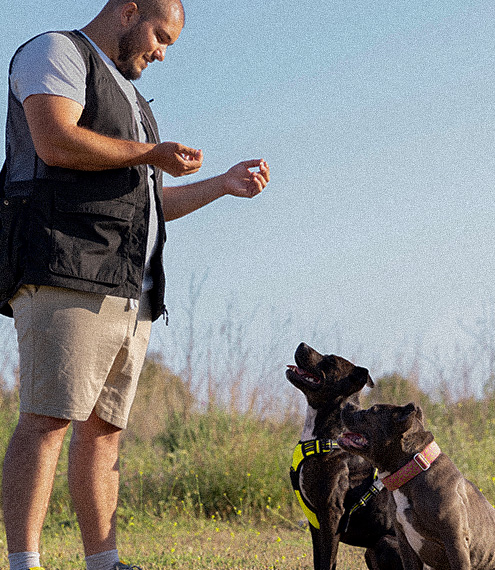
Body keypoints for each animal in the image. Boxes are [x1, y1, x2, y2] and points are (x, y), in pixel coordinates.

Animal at [284, 342, 404, 568]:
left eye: (330, 361)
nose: (302, 344)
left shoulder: (331, 514)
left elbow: (328, 561)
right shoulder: (316, 523)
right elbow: (319, 561)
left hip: (385, 542)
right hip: (371, 552)